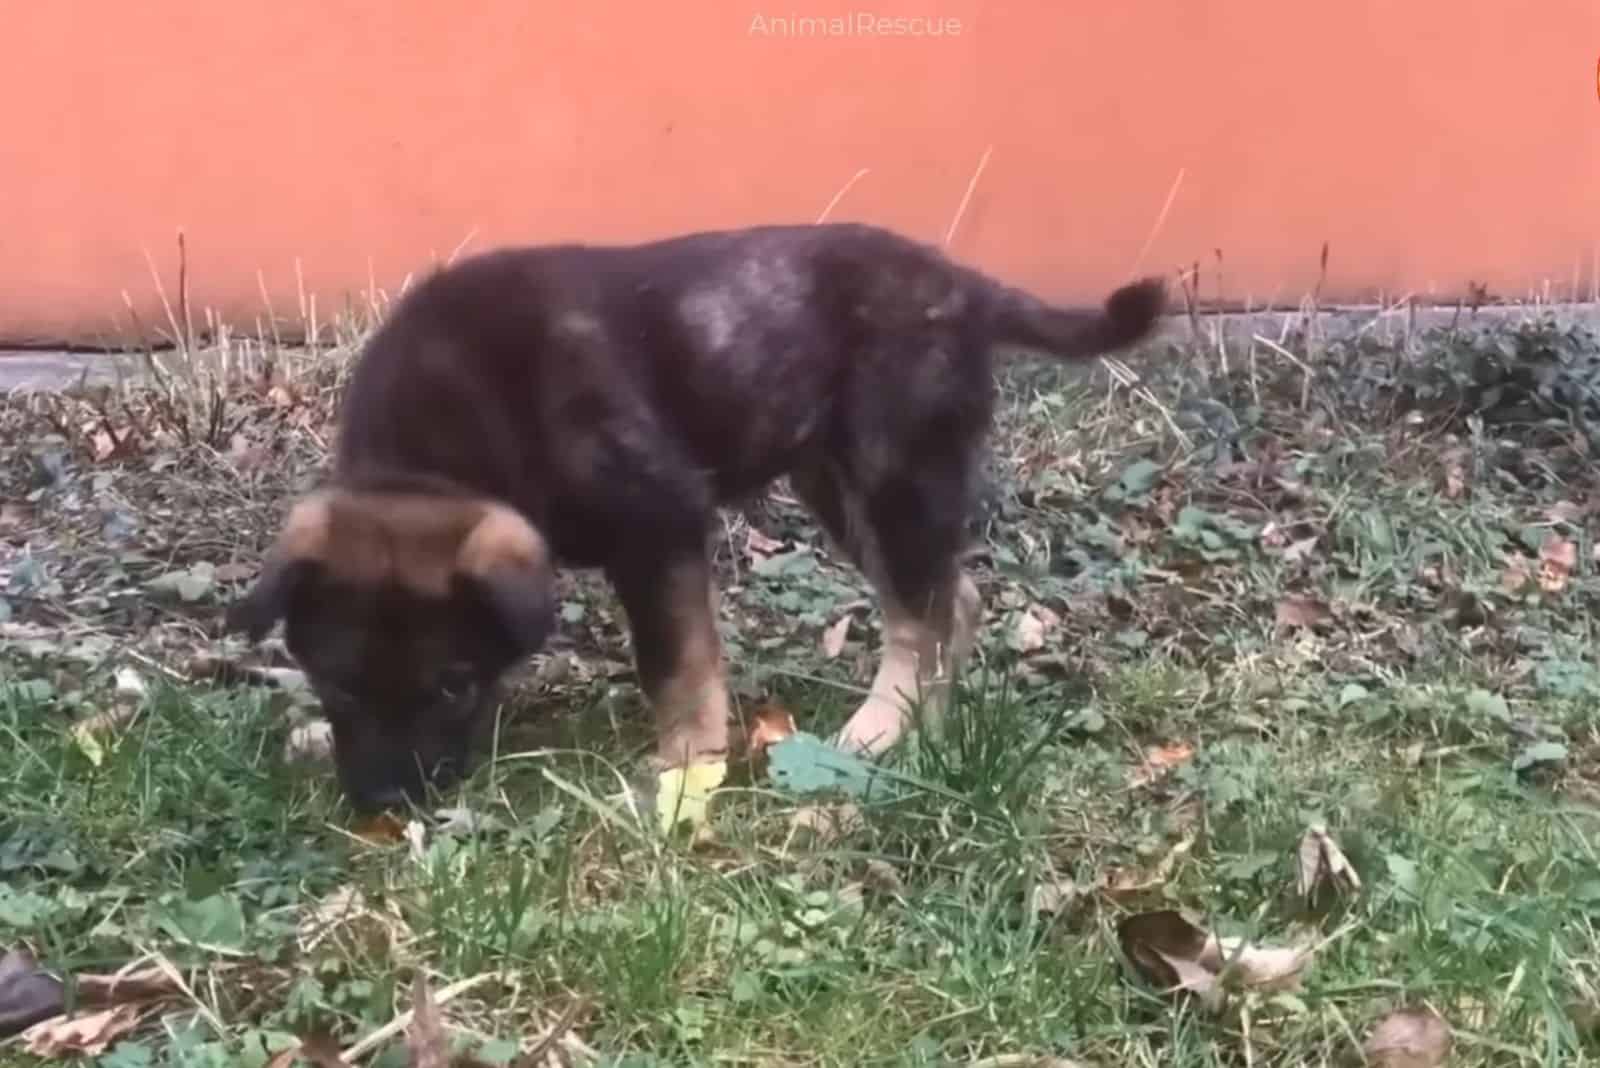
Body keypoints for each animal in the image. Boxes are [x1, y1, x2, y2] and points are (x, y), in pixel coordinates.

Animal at [228, 223, 1164, 808]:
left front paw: (684, 771)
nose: (383, 804)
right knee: (950, 599)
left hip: (892, 470)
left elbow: (677, 664)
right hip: (840, 483)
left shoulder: (660, 527)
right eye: (337, 683)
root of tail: (963, 286)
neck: (427, 464)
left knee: (922, 612)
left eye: (451, 685)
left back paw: (877, 729)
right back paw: (926, 732)